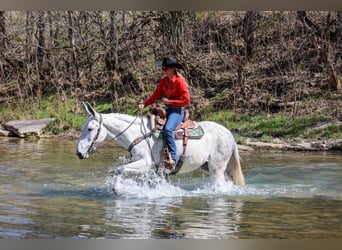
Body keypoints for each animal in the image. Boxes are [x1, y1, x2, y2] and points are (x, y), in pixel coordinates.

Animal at [76, 100, 244, 187]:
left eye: (90, 129)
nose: (78, 153)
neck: (138, 135)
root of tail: (229, 135)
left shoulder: (145, 163)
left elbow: (120, 169)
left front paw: (116, 189)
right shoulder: (148, 167)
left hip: (216, 168)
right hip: (208, 166)